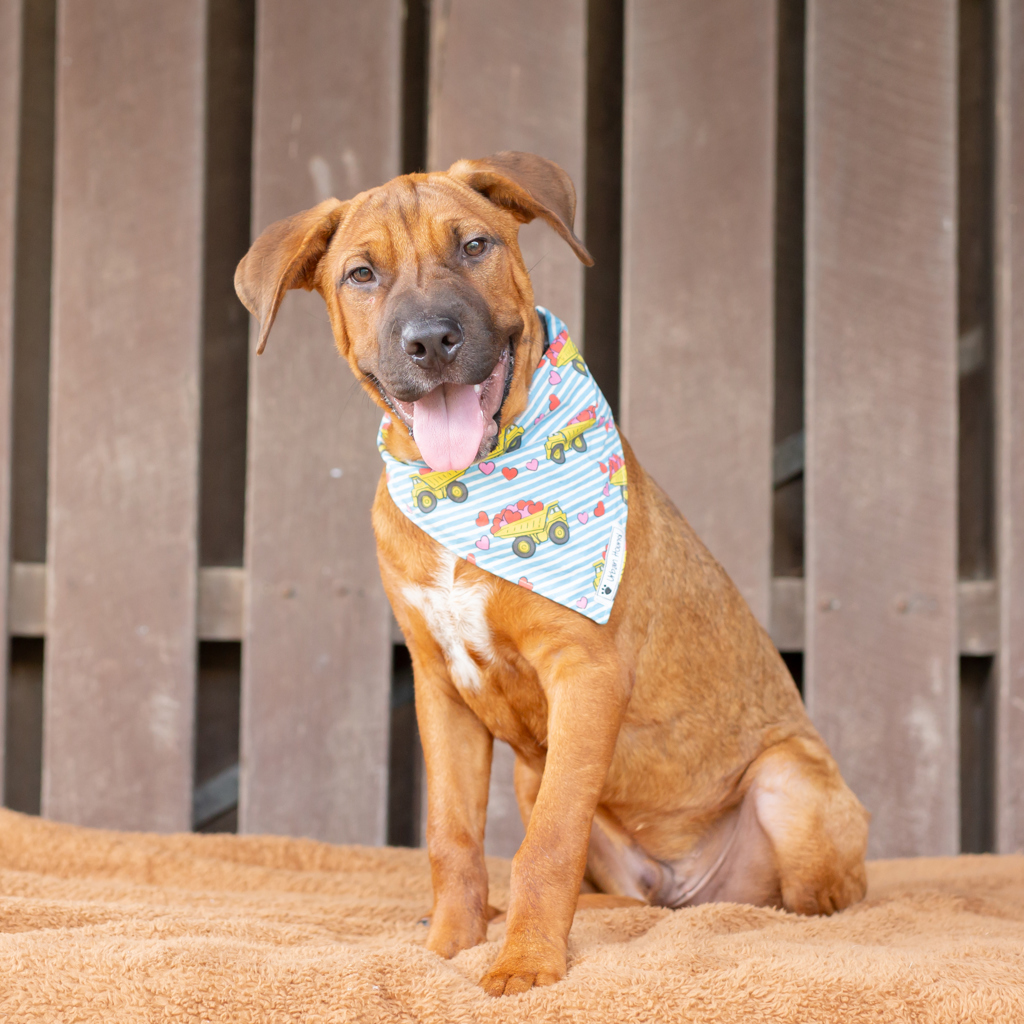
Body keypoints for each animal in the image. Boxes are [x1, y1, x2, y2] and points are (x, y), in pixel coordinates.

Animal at [235, 151, 869, 997]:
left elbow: (548, 843)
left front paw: (526, 963)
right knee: (626, 900)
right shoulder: (440, 688)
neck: (468, 491)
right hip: (535, 779)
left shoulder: (586, 674)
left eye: (475, 246)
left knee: (803, 899)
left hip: (787, 782)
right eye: (361, 274)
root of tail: (689, 888)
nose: (431, 341)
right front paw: (450, 945)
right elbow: (452, 836)